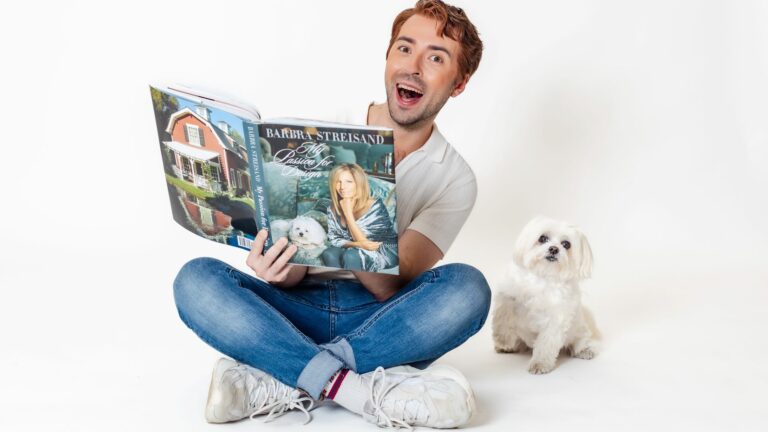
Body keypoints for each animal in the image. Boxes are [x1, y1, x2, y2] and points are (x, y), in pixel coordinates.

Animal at [492, 218, 600, 372]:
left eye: (566, 244)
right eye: (542, 238)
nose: (554, 249)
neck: (543, 276)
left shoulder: (556, 319)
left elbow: (546, 342)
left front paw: (540, 363)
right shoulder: (507, 297)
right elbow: (503, 318)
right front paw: (503, 339)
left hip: (579, 330)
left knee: (581, 340)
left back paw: (584, 350)